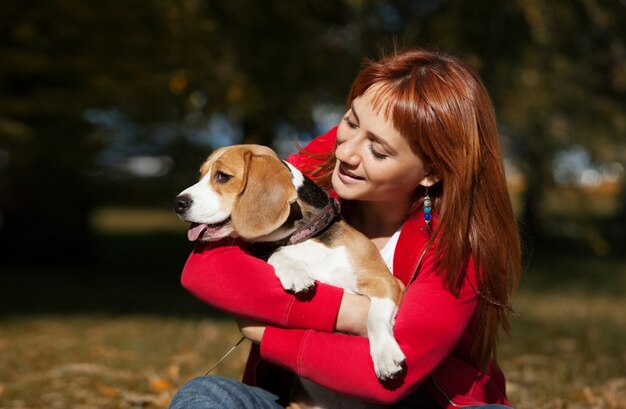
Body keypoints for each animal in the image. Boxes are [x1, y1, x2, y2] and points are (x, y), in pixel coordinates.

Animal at [173, 144, 402, 382]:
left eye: (222, 176)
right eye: (201, 174)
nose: (178, 203)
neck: (304, 237)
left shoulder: (386, 281)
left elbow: (374, 318)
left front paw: (385, 355)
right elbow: (278, 253)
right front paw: (295, 273)